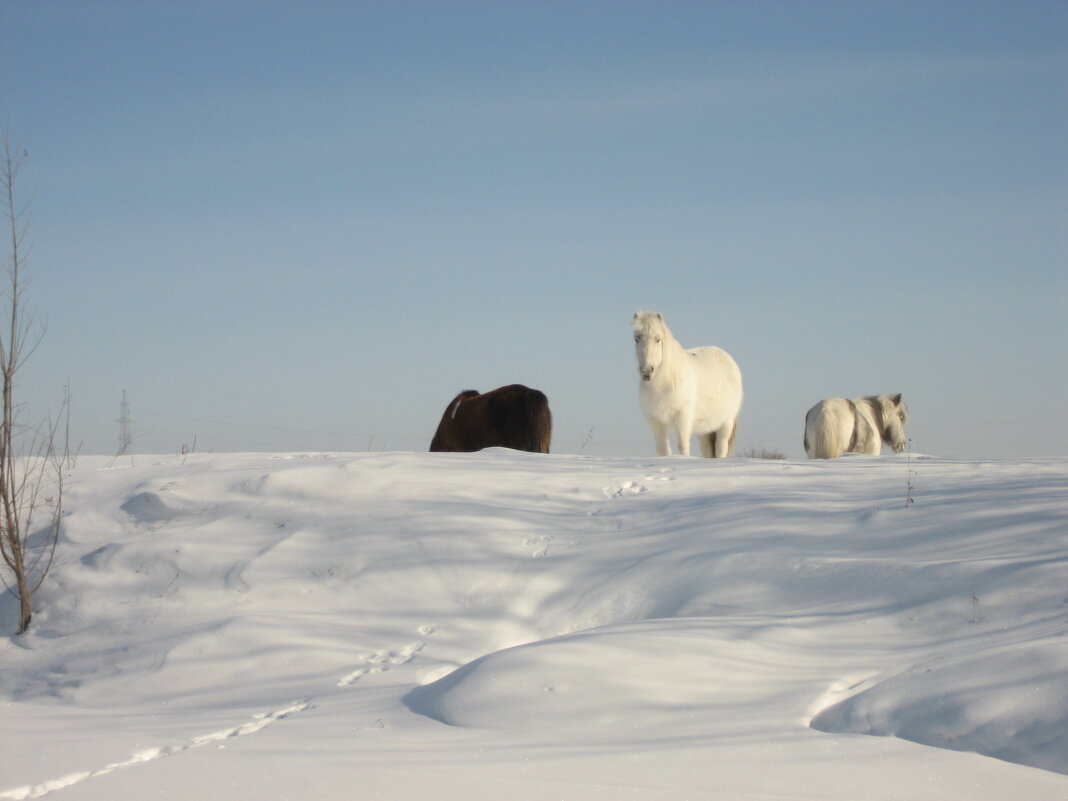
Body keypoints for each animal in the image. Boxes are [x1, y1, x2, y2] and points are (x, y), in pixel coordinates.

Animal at [632, 309, 743, 454]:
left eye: (658, 339)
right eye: (636, 339)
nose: (647, 371)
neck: (663, 384)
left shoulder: (683, 418)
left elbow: (683, 446)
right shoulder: (655, 421)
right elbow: (662, 449)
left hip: (726, 423)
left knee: (721, 447)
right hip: (704, 429)